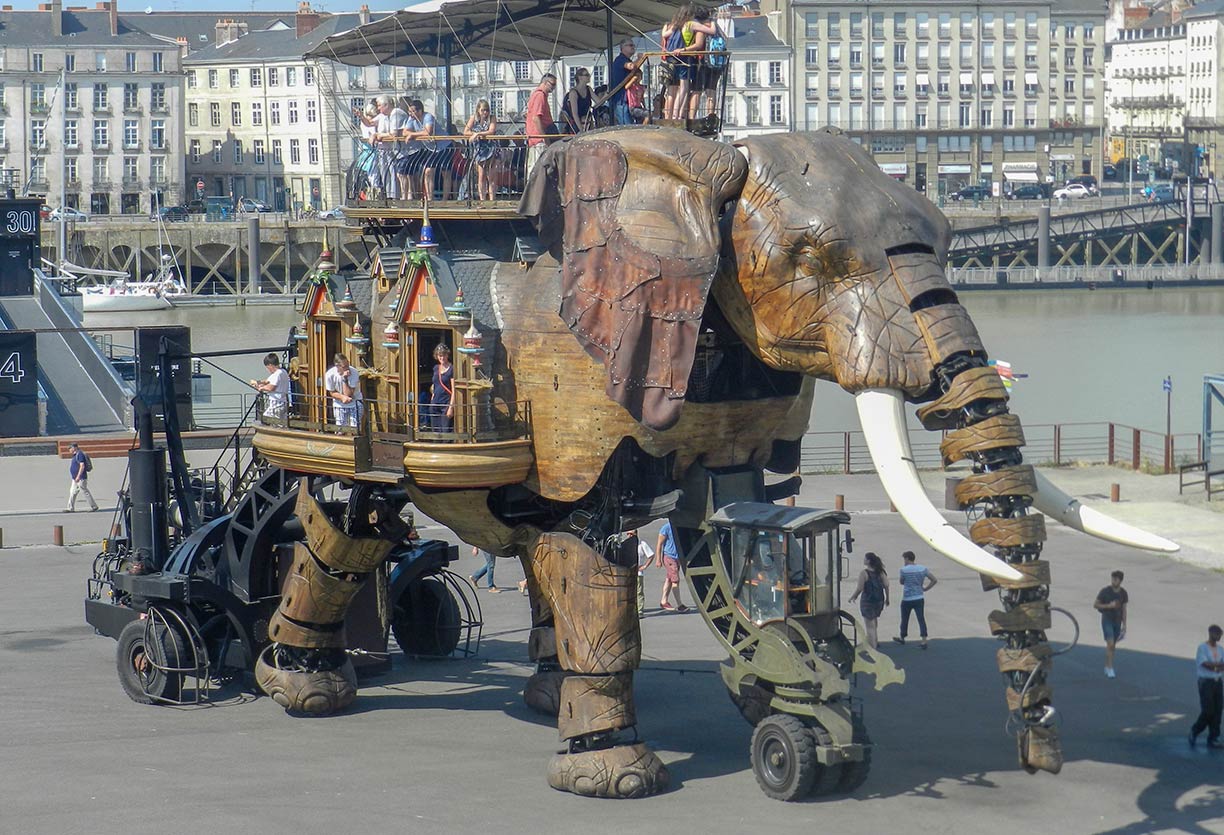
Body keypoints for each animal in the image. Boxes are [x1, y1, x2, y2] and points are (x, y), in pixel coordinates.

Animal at [253, 126, 1170, 798]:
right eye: (814, 257)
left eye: (948, 241)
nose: (1039, 755)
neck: (701, 170)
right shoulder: (590, 385)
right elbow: (599, 554)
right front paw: (620, 777)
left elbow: (721, 521)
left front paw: (777, 692)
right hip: (348, 422)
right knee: (347, 531)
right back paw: (305, 692)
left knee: (526, 549)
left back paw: (544, 698)